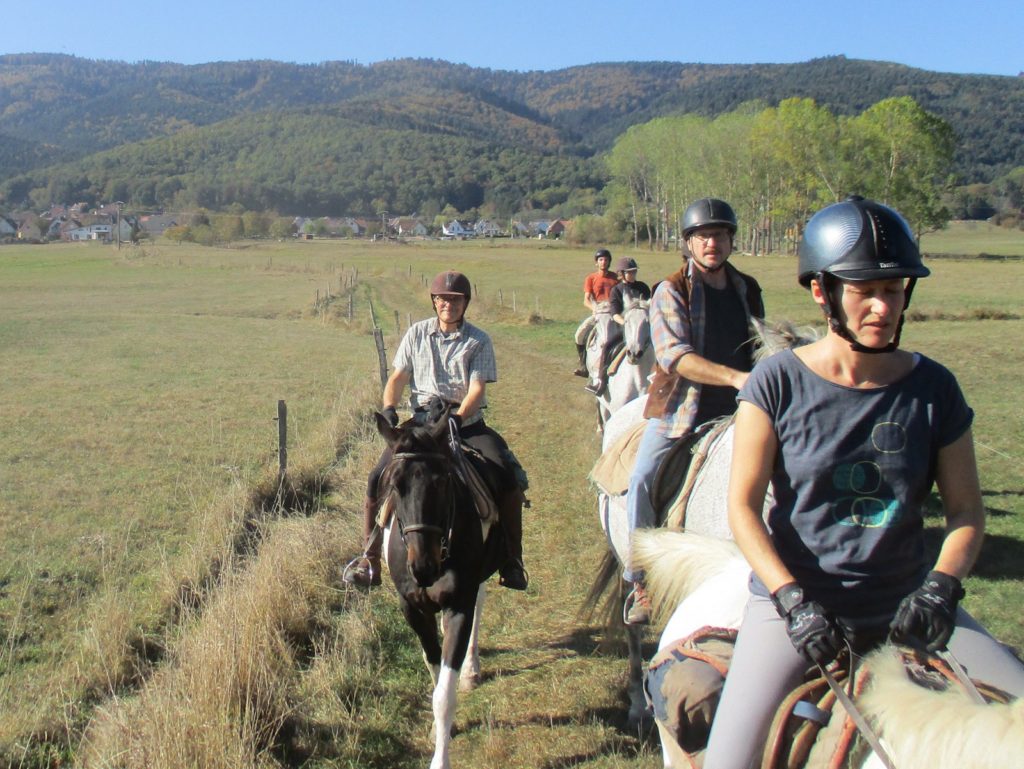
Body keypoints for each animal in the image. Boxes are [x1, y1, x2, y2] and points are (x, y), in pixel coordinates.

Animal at [372, 411, 507, 765]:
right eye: (395, 485)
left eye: (443, 481)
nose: (423, 567)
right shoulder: (412, 609)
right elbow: (434, 670)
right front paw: (438, 730)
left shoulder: (459, 603)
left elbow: (445, 694)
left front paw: (440, 758)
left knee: (480, 606)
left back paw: (472, 669)